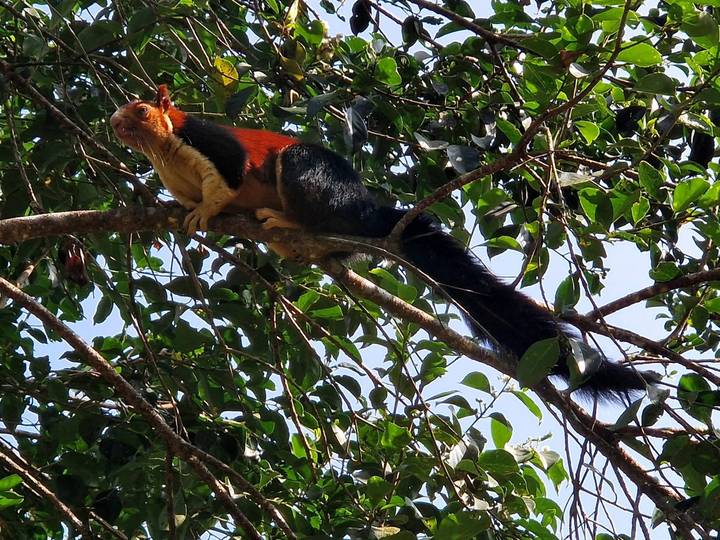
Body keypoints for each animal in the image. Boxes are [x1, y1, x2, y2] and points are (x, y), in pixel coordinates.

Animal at [111, 85, 656, 401]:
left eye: (140, 109)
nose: (113, 123)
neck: (164, 152)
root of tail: (366, 208)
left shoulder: (212, 146)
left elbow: (227, 180)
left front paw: (205, 212)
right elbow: (184, 198)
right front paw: (181, 212)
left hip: (312, 177)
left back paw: (282, 219)